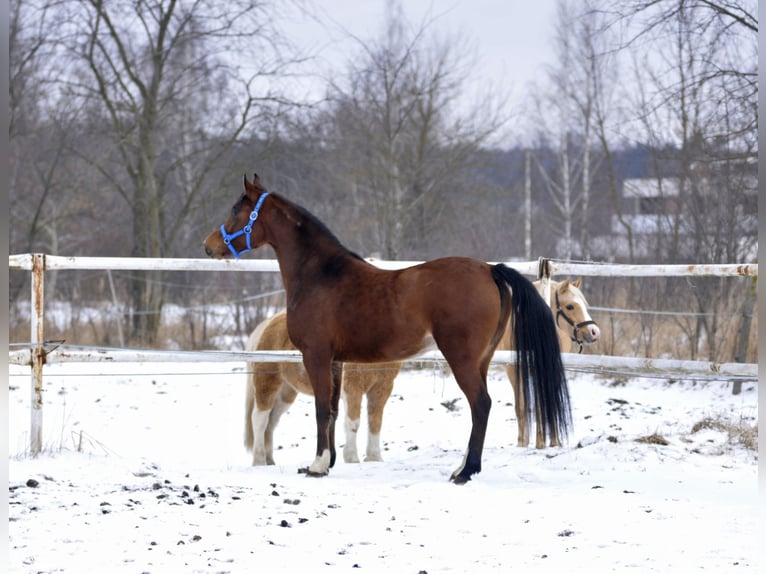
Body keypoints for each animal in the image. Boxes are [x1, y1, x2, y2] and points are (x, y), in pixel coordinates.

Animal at [244, 310, 401, 466]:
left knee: (271, 422)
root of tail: (268, 324)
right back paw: (259, 460)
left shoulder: (382, 389)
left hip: (286, 394)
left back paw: (269, 460)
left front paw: (374, 457)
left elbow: (375, 423)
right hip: (267, 384)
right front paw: (352, 458)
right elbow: (353, 423)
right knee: (259, 419)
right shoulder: (352, 389)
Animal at [497, 278, 600, 449]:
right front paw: (522, 442)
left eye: (585, 304)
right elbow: (521, 405)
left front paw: (549, 441)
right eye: (570, 306)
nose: (594, 332)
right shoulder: (513, 369)